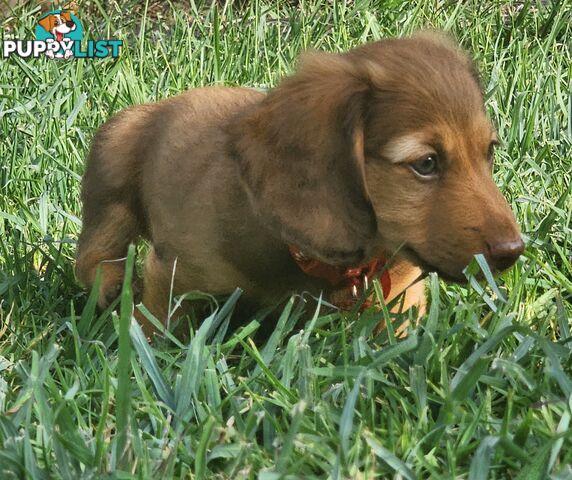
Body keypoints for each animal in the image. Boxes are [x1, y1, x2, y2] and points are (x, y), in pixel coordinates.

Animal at [75, 31, 524, 336]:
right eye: (426, 164)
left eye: (489, 152)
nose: (513, 251)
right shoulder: (173, 275)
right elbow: (157, 328)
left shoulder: (402, 288)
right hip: (114, 162)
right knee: (92, 254)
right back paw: (109, 284)